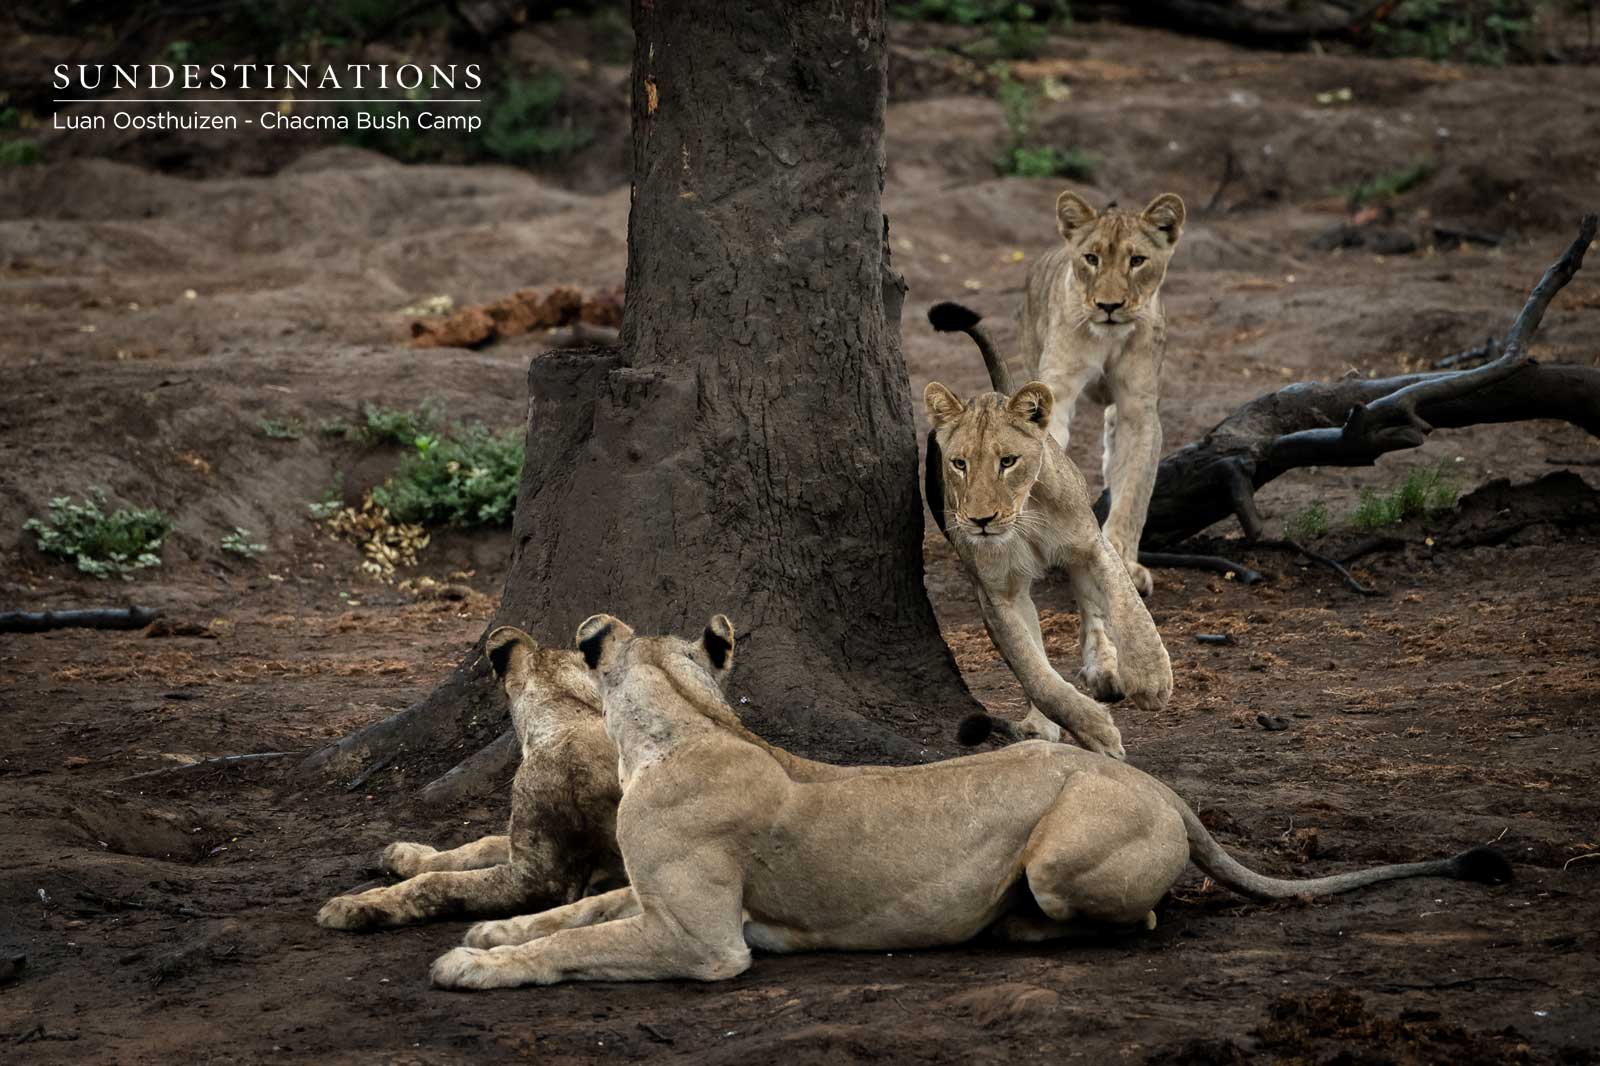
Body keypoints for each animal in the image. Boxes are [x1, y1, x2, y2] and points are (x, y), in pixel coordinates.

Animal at [316, 627, 625, 931]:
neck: (569, 710)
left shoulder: (540, 879)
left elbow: (437, 882)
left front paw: (356, 904)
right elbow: (479, 845)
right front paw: (404, 855)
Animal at [427, 614, 1511, 990]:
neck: (685, 725)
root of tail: (1156, 782)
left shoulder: (703, 941)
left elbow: (581, 943)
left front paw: (474, 964)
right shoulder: (652, 897)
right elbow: (581, 910)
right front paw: (492, 933)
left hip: (1062, 855)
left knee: (1135, 916)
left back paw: (1014, 928)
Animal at [922, 367, 1172, 755]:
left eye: (1008, 461)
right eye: (959, 464)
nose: (981, 521)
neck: (1024, 515)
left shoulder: (1092, 544)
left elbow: (1127, 603)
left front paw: (1151, 679)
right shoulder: (997, 595)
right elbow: (1034, 672)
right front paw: (1094, 729)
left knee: (1092, 606)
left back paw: (1104, 667)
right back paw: (1040, 725)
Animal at [1018, 190, 1187, 597]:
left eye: (1137, 260)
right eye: (1091, 259)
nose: (1109, 306)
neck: (1108, 340)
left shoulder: (1139, 410)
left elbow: (1133, 493)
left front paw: (1124, 562)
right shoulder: (1057, 388)